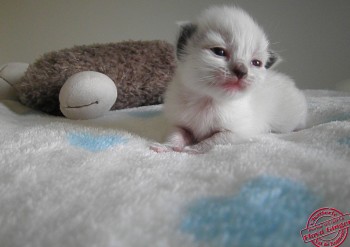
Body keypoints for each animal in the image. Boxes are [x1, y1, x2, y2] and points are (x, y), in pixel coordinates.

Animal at [150, 5, 306, 152]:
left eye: (256, 63)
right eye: (219, 52)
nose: (242, 71)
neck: (208, 100)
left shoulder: (239, 132)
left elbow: (216, 138)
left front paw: (195, 148)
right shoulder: (178, 122)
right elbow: (175, 134)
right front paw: (167, 146)